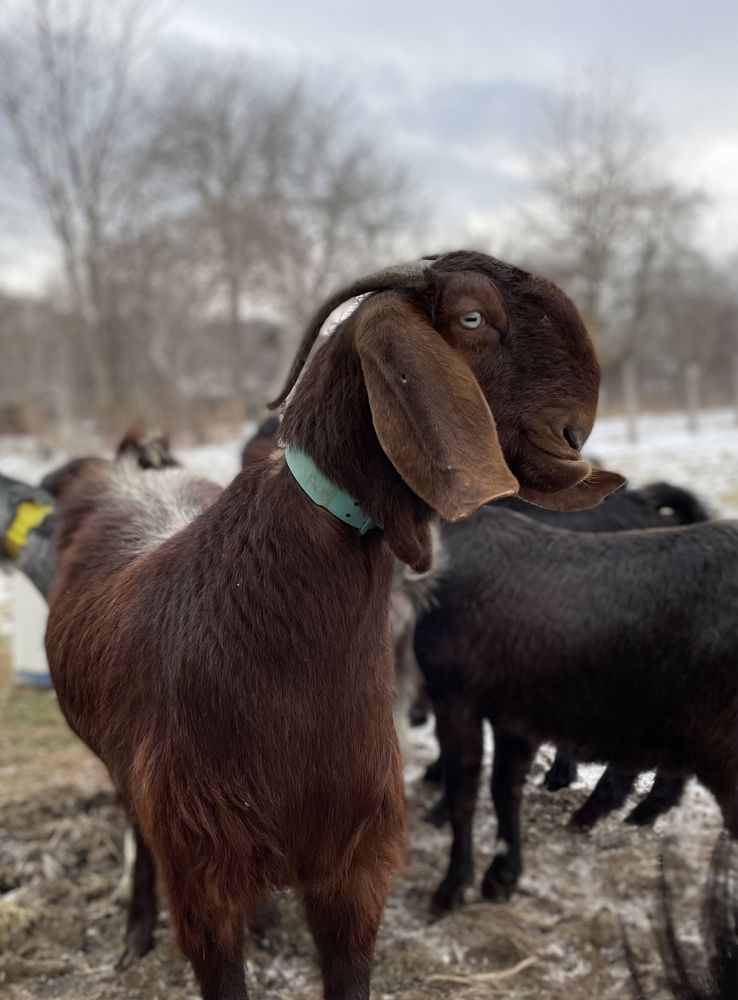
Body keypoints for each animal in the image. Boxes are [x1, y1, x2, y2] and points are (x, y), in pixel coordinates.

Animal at [44, 254, 620, 1000]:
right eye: (472, 318)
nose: (572, 436)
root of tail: (127, 472)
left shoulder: (353, 862)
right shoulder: (202, 870)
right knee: (137, 834)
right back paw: (136, 934)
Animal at [414, 512, 736, 912]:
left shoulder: (455, 699)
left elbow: (464, 794)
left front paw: (451, 888)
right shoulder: (514, 717)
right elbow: (504, 789)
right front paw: (502, 878)